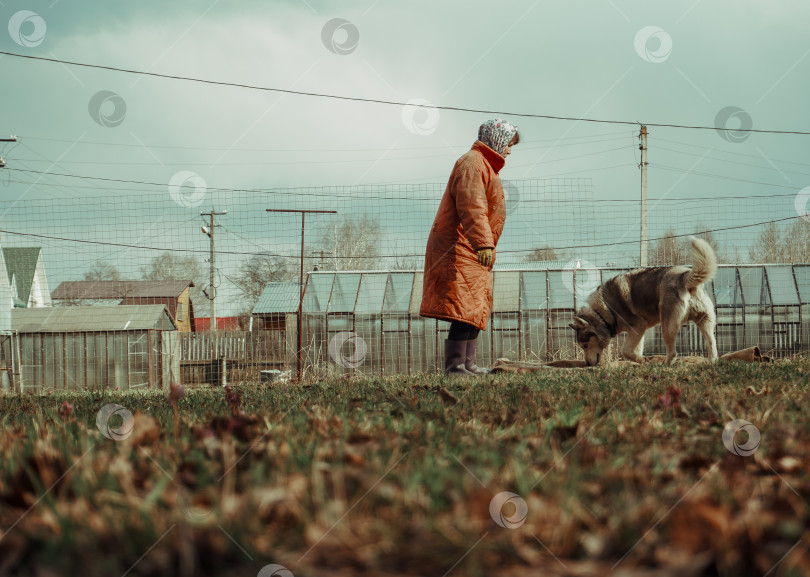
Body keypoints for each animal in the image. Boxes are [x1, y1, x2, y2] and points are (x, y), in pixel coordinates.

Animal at [564, 237, 716, 364]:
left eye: (585, 345)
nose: (587, 364)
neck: (604, 313)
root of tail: (685, 276)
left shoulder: (637, 326)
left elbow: (626, 351)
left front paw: (644, 360)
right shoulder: (638, 331)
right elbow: (633, 351)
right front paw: (641, 361)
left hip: (667, 326)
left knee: (673, 353)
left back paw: (666, 365)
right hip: (705, 321)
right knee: (712, 343)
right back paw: (711, 362)